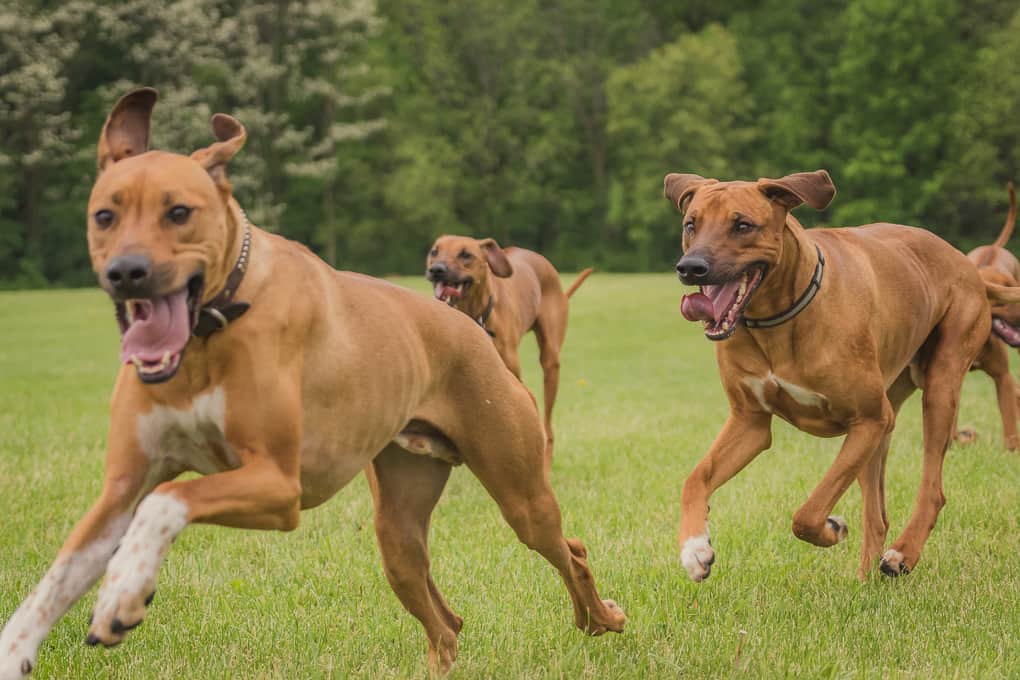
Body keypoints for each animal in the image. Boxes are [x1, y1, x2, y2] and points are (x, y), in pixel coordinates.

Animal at [426, 235, 595, 462]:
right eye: (434, 252)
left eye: (465, 254)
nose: (437, 269)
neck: (476, 314)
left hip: (551, 362)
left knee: (548, 430)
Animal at [665, 169, 1020, 579]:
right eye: (691, 225)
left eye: (743, 225)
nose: (691, 267)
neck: (778, 318)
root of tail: (968, 263)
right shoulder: (750, 422)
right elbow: (694, 479)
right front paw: (694, 548)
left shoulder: (867, 420)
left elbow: (807, 514)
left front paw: (831, 528)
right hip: (883, 423)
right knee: (877, 517)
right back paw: (867, 579)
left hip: (939, 383)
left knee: (932, 489)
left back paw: (903, 553)